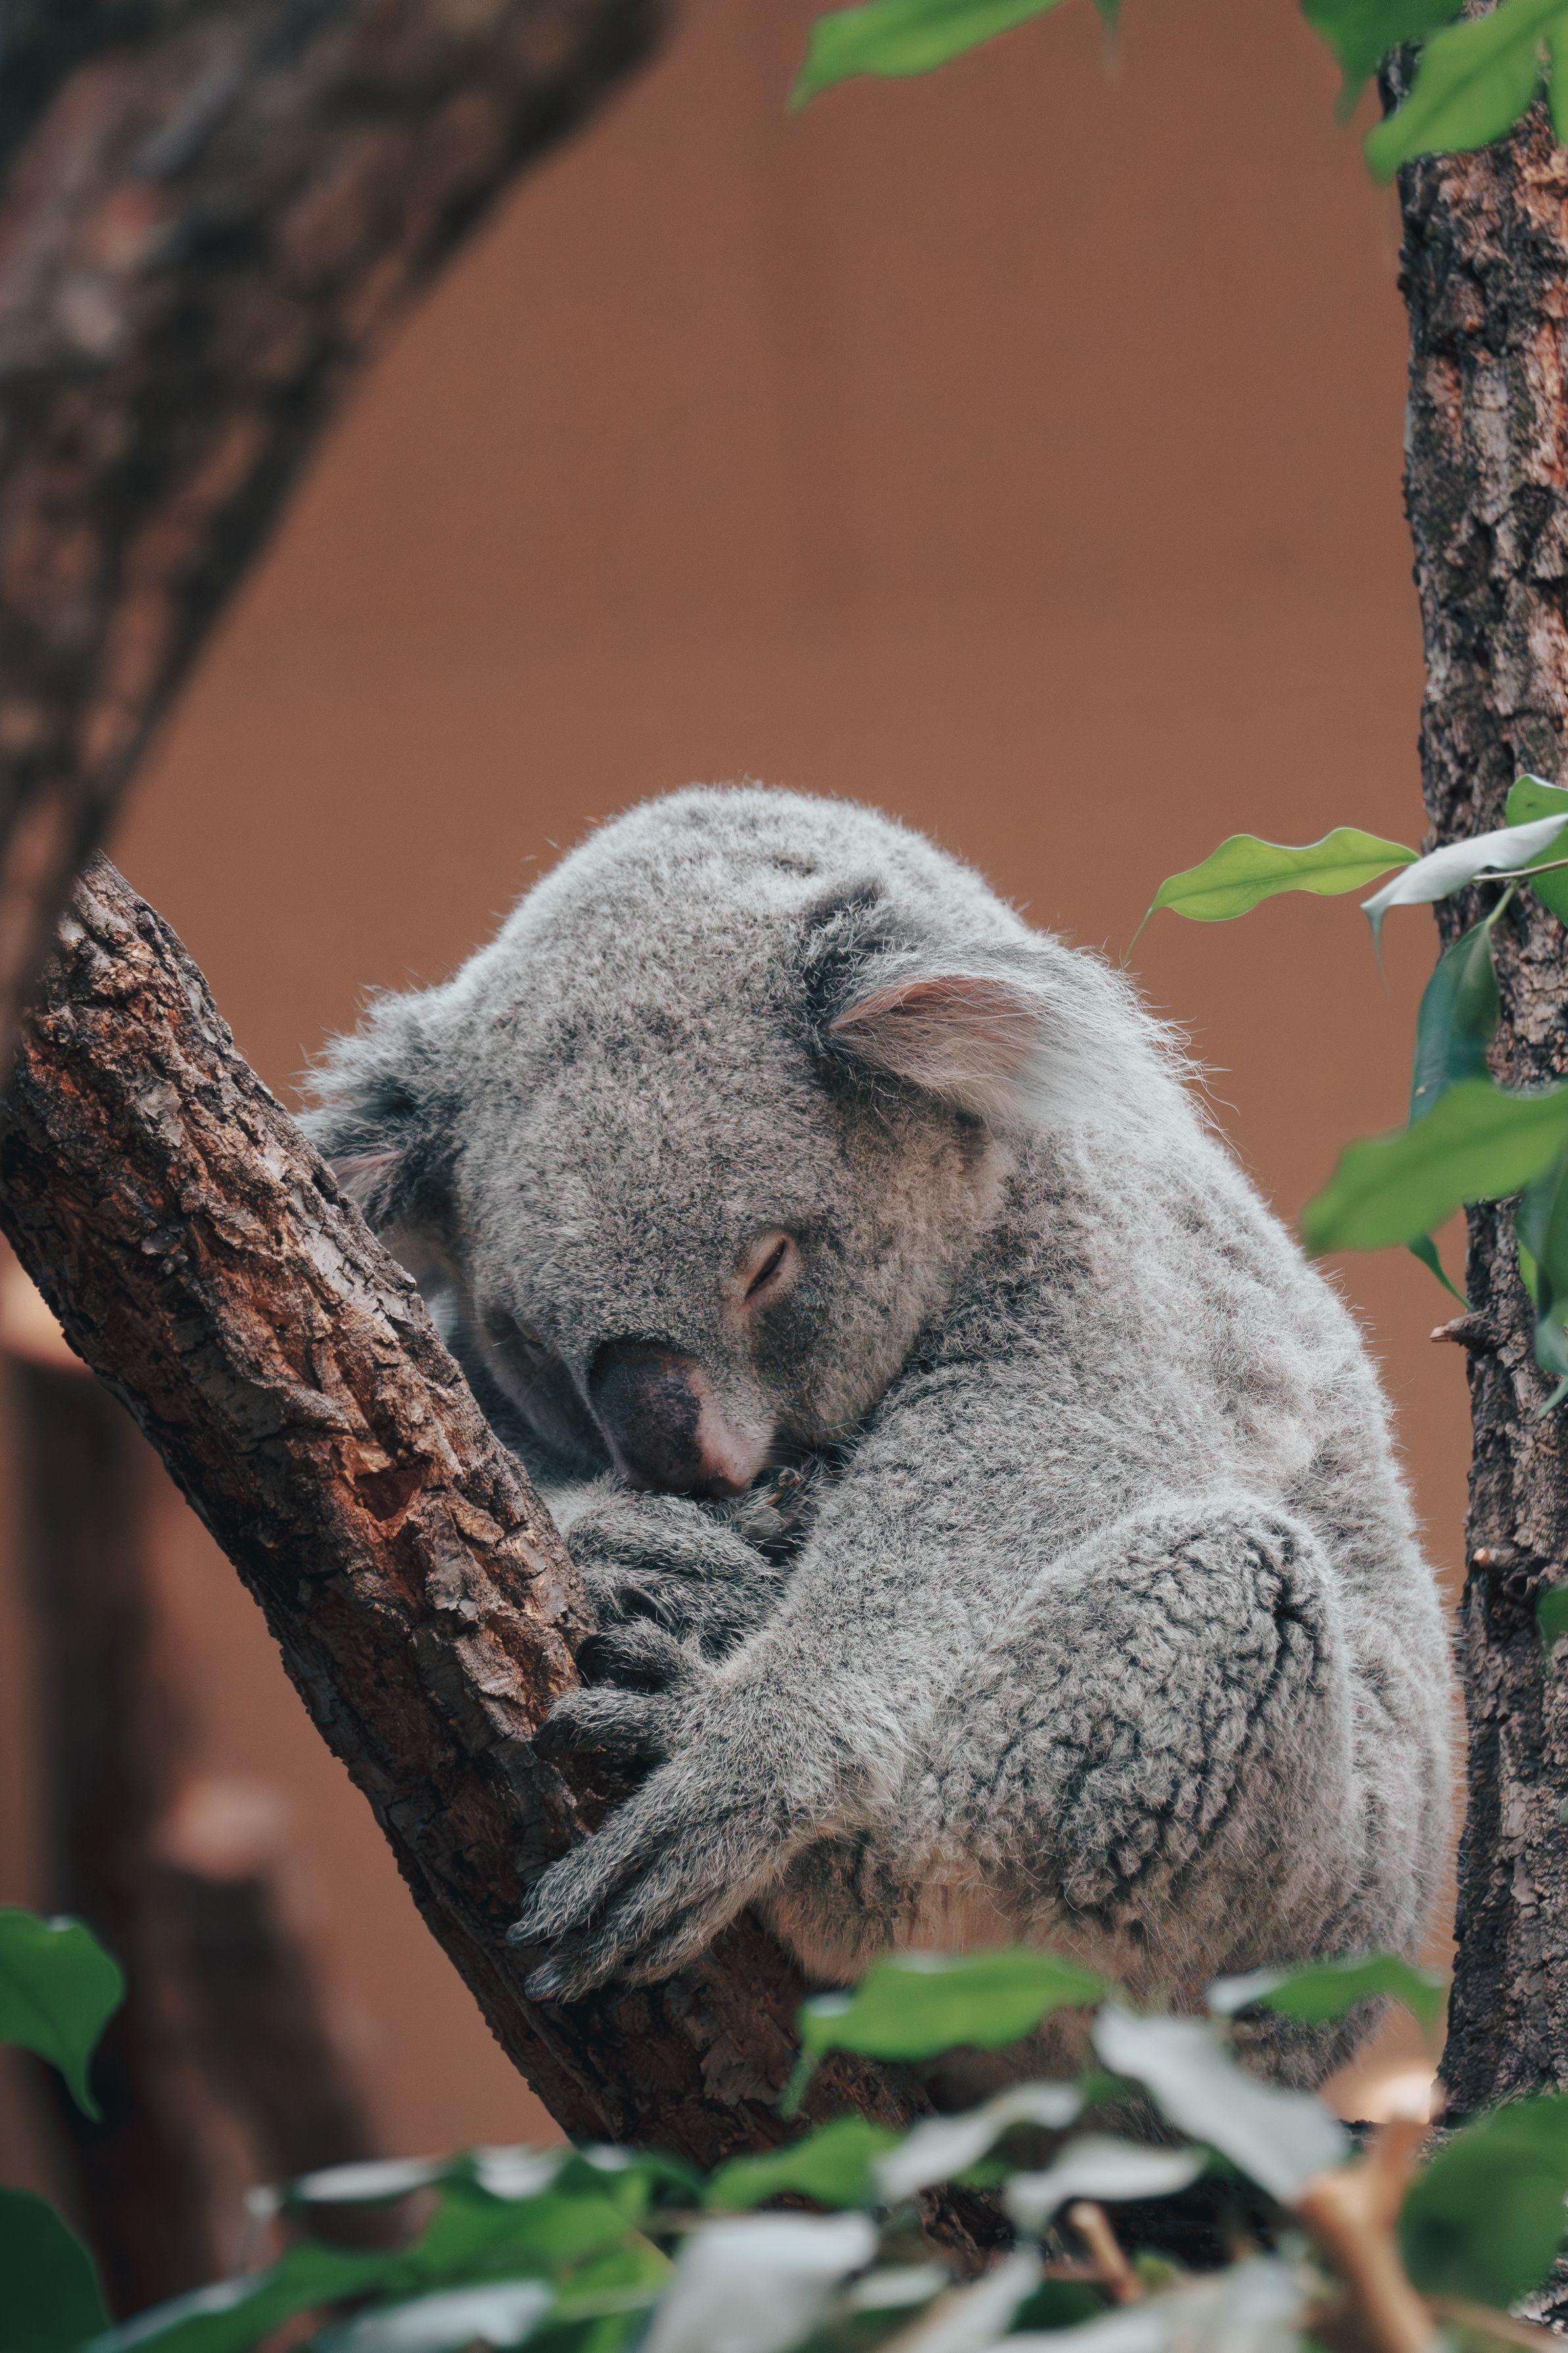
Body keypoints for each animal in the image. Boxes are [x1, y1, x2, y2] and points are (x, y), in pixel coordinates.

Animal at [303, 784, 1452, 2078]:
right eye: (525, 1334)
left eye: (766, 1265)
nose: (691, 1462)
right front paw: (642, 1538)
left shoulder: (1113, 1263)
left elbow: (1038, 1445)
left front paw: (735, 1750)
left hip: (1261, 1897)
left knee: (1219, 1590)